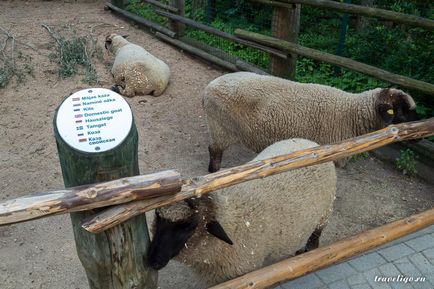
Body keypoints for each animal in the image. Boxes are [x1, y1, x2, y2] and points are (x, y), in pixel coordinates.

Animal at [147, 138, 338, 284]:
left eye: (190, 226)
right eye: (158, 217)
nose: (153, 261)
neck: (231, 218)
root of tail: (309, 142)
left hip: (324, 213)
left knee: (316, 235)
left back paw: (308, 250)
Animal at [205, 71, 418, 171]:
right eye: (401, 112)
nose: (421, 137)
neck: (350, 113)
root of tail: (209, 87)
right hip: (221, 128)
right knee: (214, 151)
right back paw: (213, 172)